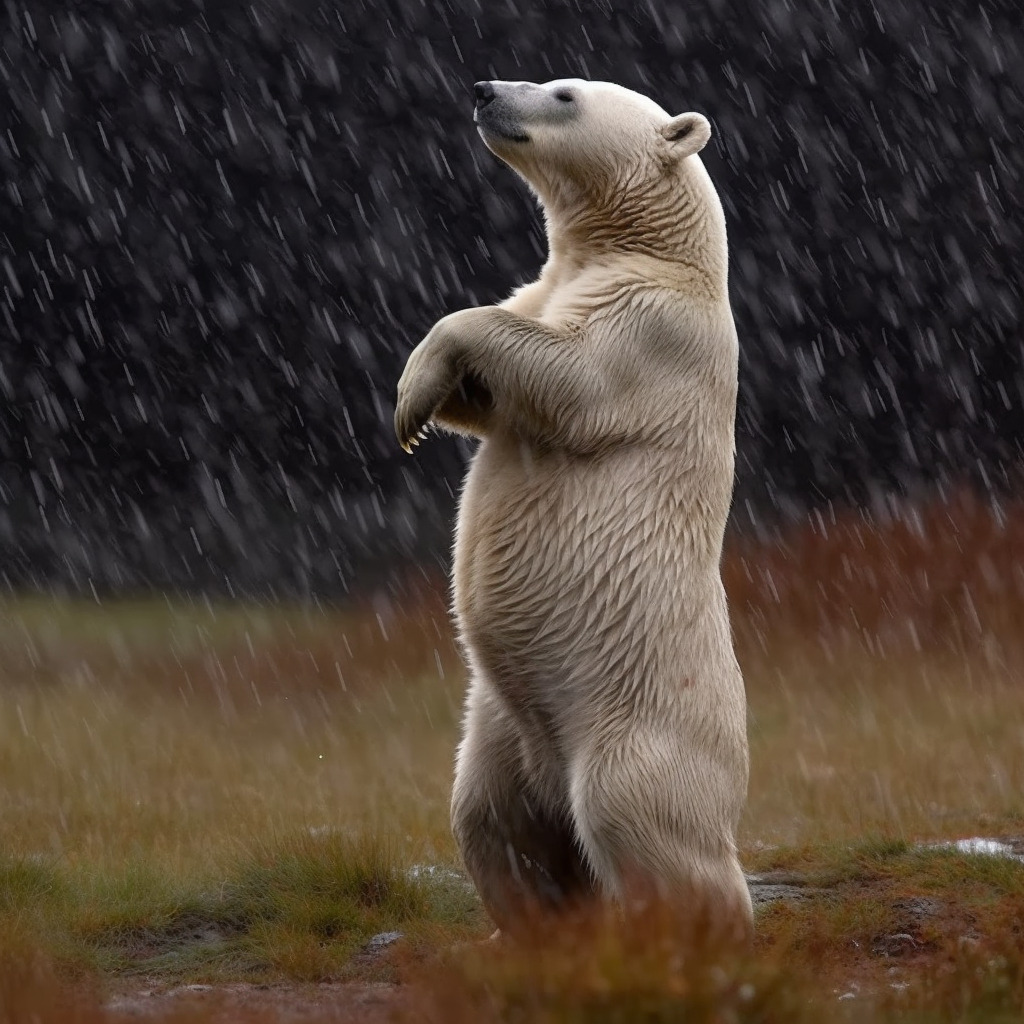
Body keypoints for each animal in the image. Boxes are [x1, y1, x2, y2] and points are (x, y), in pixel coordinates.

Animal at [395, 78, 752, 939]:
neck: (660, 251)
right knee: (492, 818)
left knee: (642, 819)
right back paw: (530, 933)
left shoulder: (652, 330)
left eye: (564, 93)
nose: (485, 90)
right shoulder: (553, 288)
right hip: (499, 724)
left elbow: (567, 374)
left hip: (639, 716)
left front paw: (411, 397)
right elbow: (494, 385)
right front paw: (420, 397)